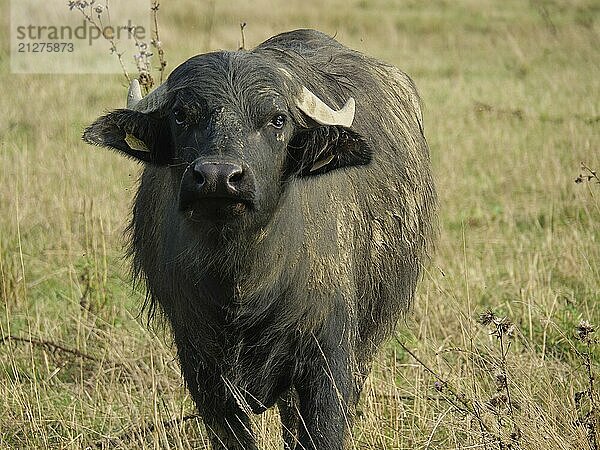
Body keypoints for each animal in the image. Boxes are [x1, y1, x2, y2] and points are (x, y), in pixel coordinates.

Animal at [83, 29, 436, 450]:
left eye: (277, 119)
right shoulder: (200, 362)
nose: (218, 176)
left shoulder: (328, 355)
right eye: (181, 115)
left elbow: (324, 430)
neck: (241, 280)